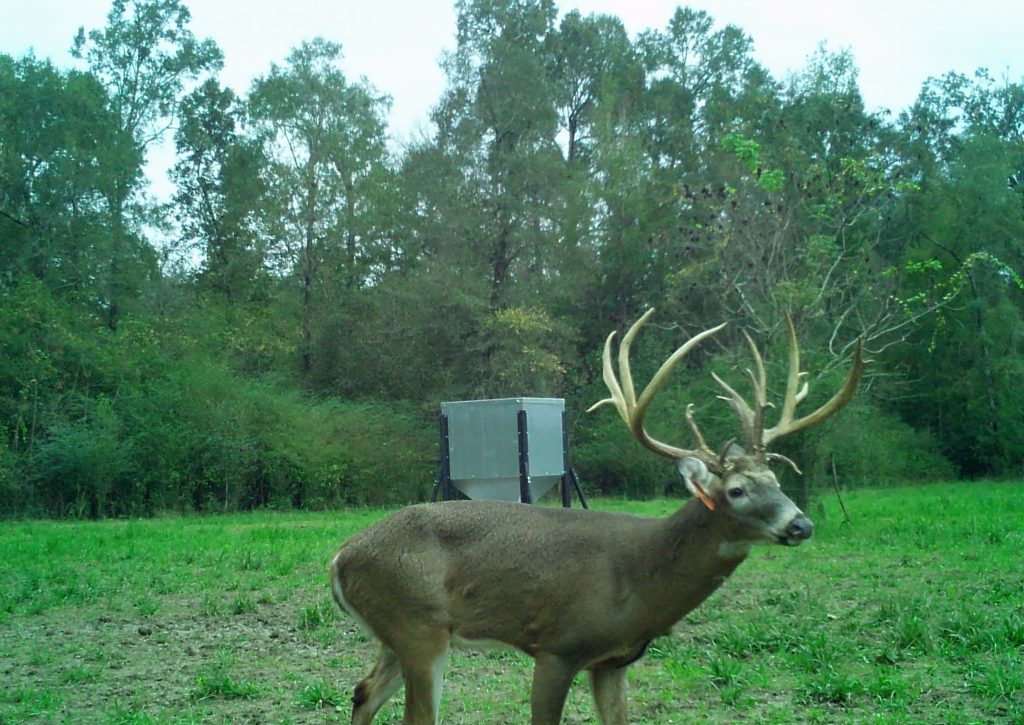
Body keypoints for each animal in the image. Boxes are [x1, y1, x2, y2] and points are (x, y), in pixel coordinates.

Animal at [329, 309, 864, 725]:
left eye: (776, 480)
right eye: (736, 490)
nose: (801, 525)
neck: (638, 582)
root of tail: (339, 559)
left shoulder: (614, 661)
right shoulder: (558, 645)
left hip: (398, 635)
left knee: (362, 693)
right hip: (417, 626)